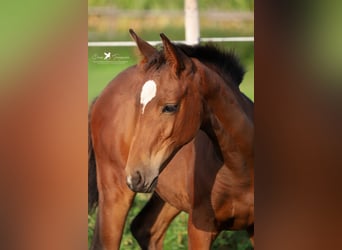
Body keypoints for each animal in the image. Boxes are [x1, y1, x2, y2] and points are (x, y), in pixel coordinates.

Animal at [89, 30, 254, 249]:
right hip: (115, 191)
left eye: (170, 107)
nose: (136, 176)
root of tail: (101, 95)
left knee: (145, 229)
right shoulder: (200, 227)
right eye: (138, 105)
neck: (240, 169)